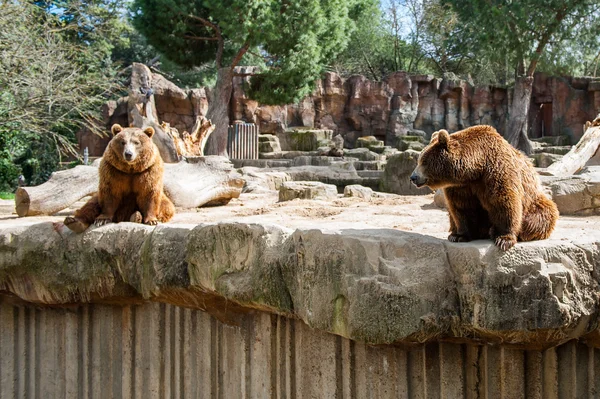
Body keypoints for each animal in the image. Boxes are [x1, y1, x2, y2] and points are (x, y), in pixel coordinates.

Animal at [410, 126, 560, 250]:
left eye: (424, 161)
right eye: (419, 160)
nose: (413, 177)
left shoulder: (496, 171)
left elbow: (504, 202)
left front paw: (504, 239)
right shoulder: (460, 186)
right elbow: (462, 207)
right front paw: (460, 236)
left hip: (534, 202)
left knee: (543, 214)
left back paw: (496, 231)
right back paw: (454, 233)